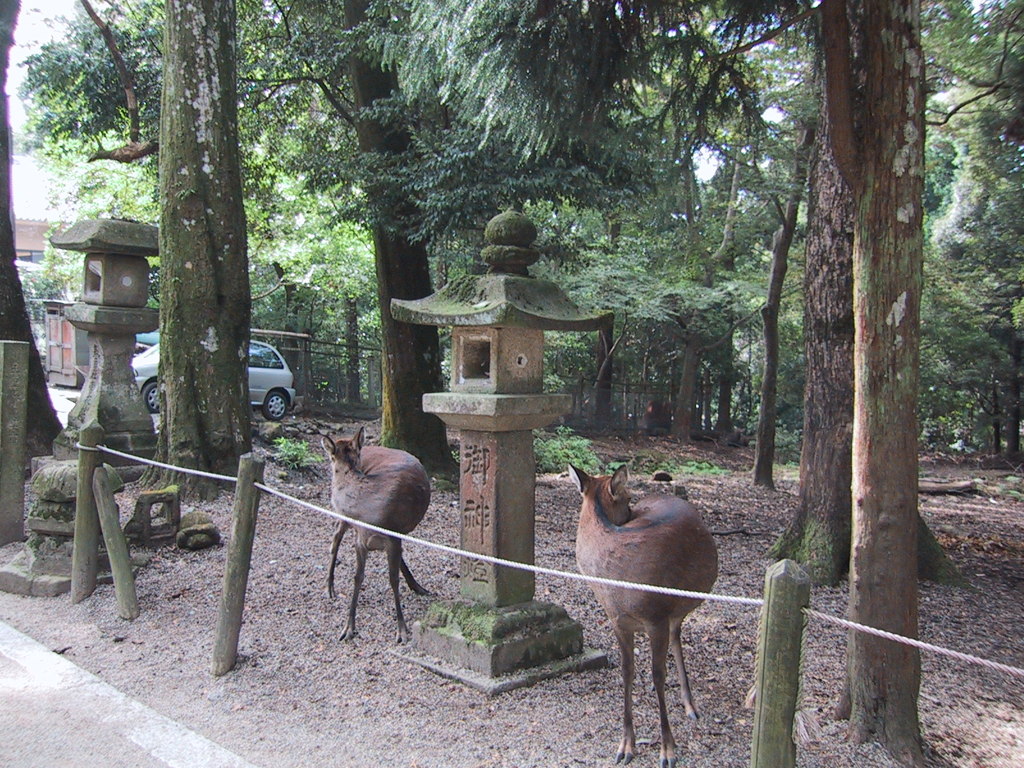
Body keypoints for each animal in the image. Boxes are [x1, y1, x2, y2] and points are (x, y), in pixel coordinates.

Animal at [321, 430, 430, 647]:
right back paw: (329, 587)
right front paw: (348, 628)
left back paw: (417, 586)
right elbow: (357, 577)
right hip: (346, 522)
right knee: (335, 538)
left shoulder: (393, 537)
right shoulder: (360, 539)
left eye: (331, 457)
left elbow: (393, 579)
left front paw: (402, 630)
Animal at [569, 462, 720, 768]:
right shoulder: (618, 621)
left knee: (677, 636)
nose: (631, 512)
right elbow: (627, 672)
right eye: (629, 500)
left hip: (675, 607)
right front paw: (625, 746)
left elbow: (658, 674)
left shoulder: (656, 616)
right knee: (676, 636)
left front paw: (667, 750)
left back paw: (690, 705)